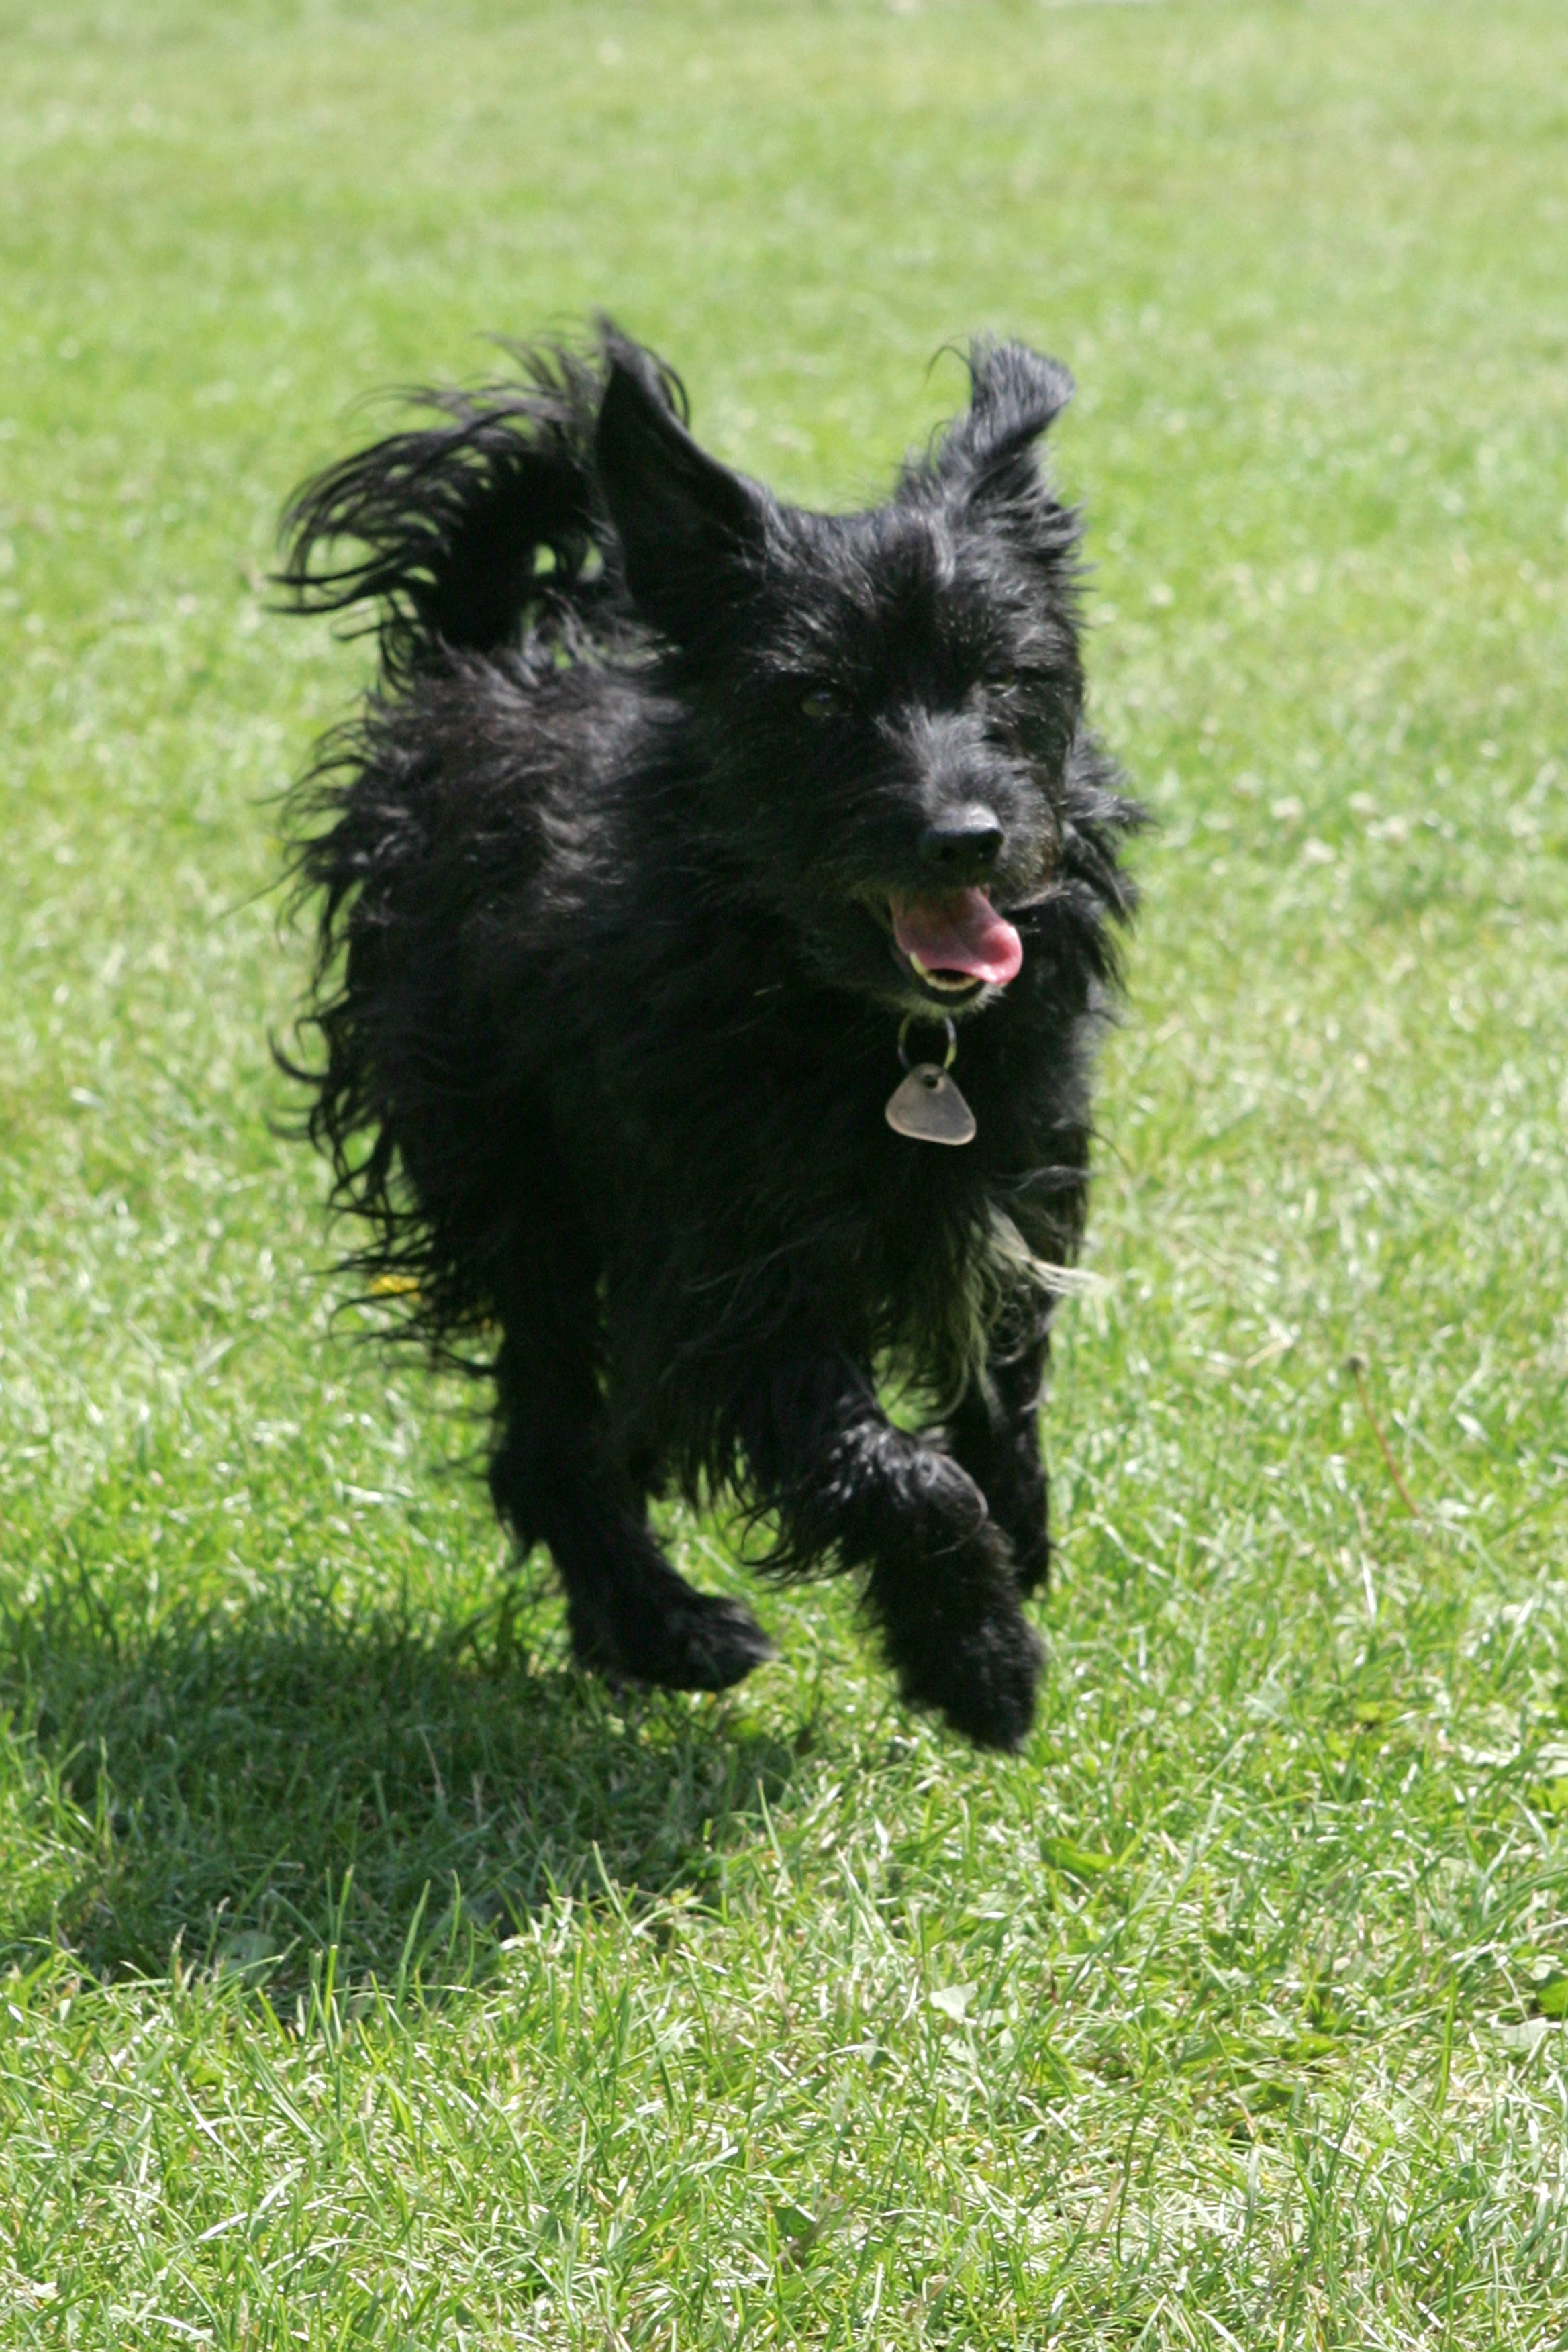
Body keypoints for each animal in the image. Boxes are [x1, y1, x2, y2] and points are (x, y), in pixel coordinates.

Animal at [278, 323, 1141, 1750]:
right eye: (818, 703)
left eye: (1008, 680)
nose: (966, 836)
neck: (867, 1026)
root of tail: (479, 665)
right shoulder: (724, 1282)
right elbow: (892, 1466)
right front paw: (977, 1654)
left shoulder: (1010, 1188)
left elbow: (1000, 1393)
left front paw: (1015, 1540)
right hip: (514, 1186)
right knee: (548, 1435)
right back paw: (657, 1622)